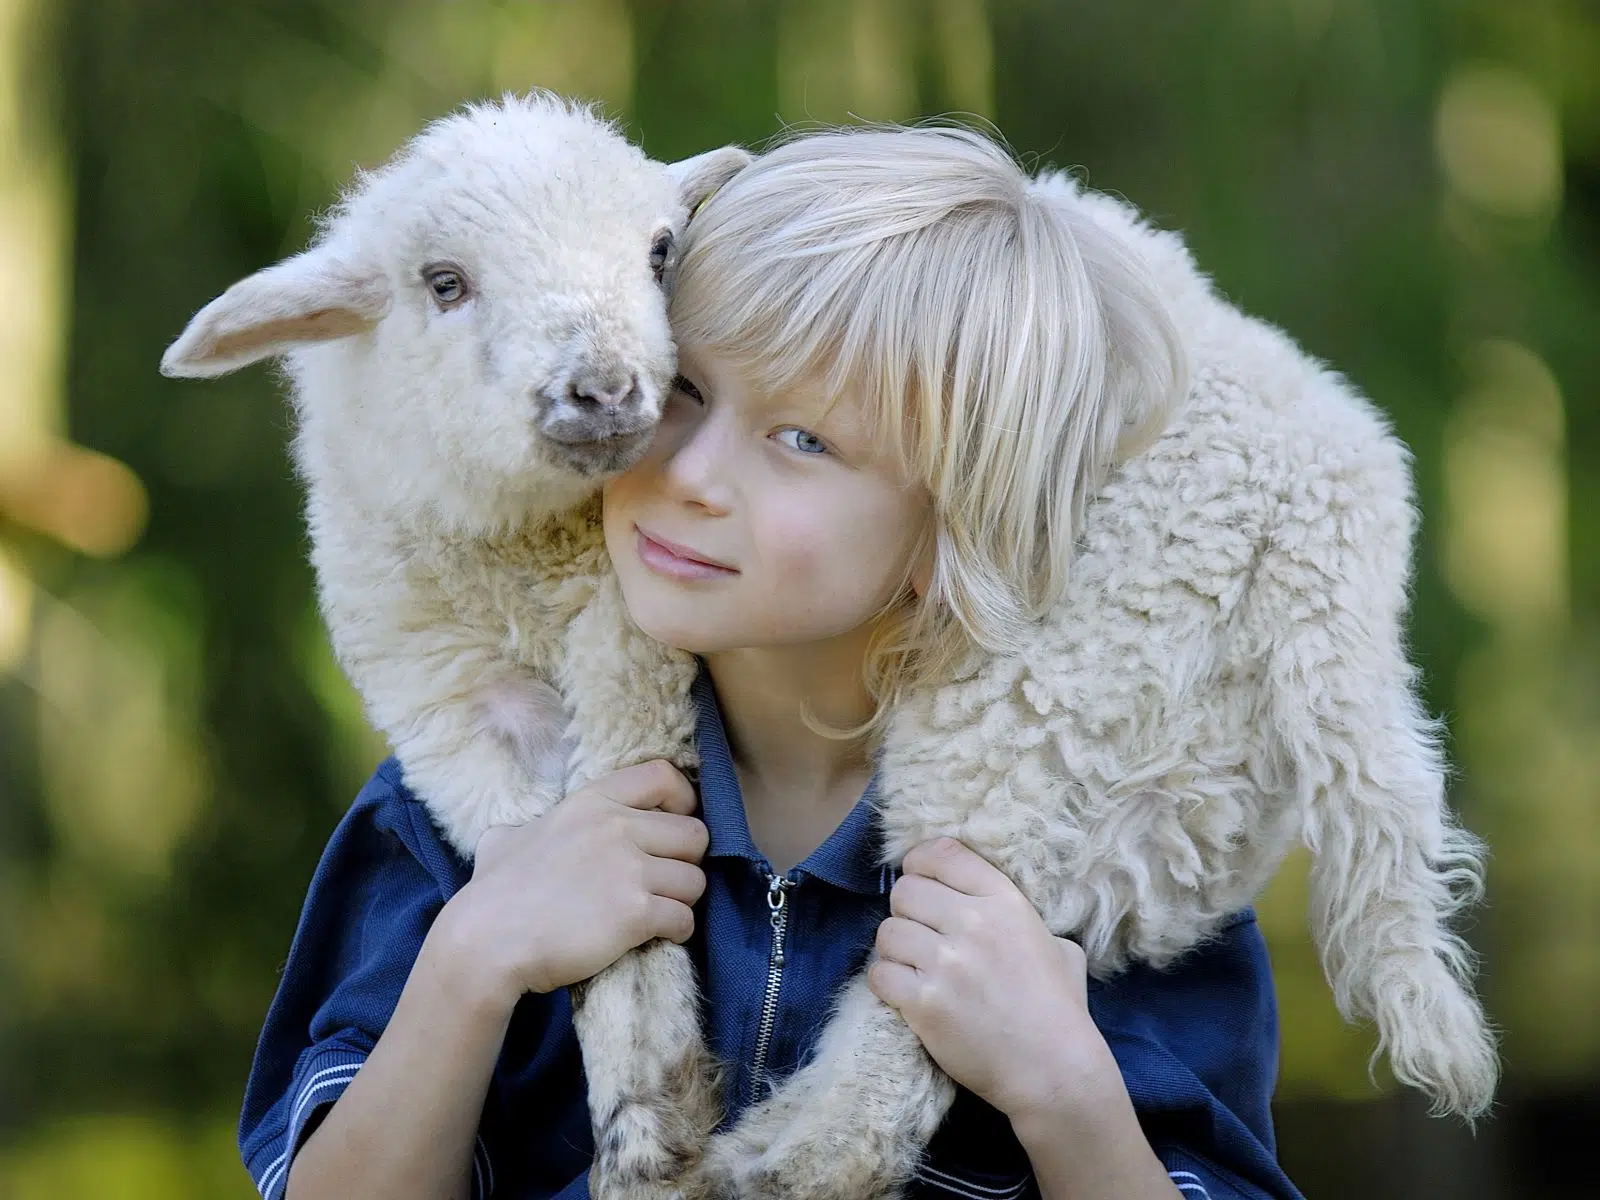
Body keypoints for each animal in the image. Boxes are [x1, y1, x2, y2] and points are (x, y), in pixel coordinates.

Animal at [165, 94, 752, 1200]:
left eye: (661, 251)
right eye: (445, 283)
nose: (605, 391)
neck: (528, 568)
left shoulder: (629, 651)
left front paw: (646, 1128)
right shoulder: (450, 713)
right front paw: (648, 1127)